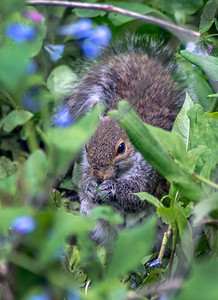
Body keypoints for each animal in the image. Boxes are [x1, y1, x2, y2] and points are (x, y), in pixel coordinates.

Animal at [66, 35, 184, 245]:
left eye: (121, 148)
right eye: (86, 147)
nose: (99, 176)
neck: (120, 173)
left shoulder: (150, 174)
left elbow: (135, 195)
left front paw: (111, 188)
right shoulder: (85, 166)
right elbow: (83, 178)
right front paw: (90, 186)